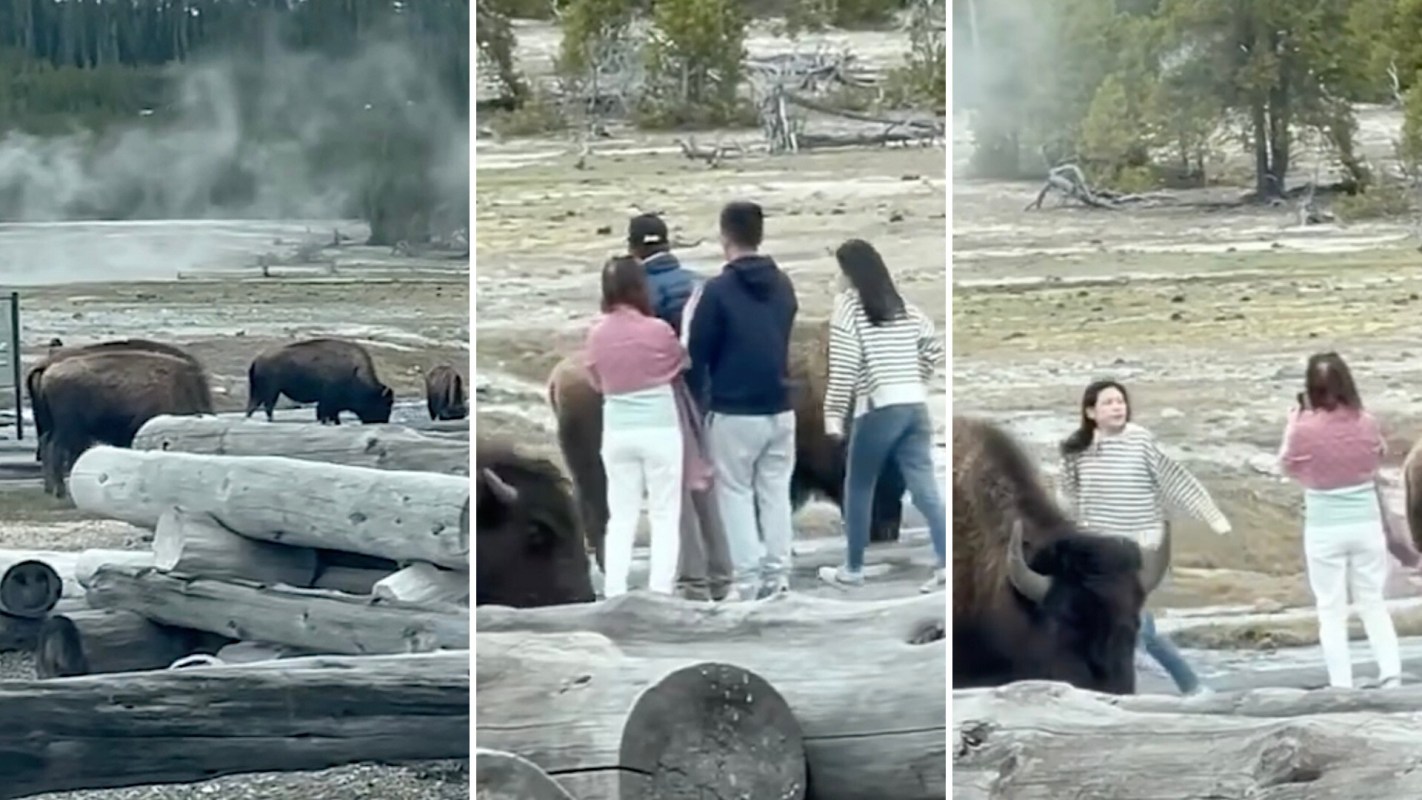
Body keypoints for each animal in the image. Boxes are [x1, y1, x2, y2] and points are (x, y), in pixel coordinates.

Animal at [37, 350, 214, 498]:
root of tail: (49, 373)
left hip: (55, 427)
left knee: (48, 447)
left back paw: (51, 488)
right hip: (67, 428)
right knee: (57, 450)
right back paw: (61, 492)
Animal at [246, 338, 394, 425]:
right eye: (385, 403)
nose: (383, 421)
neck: (355, 373)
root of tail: (257, 360)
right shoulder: (328, 401)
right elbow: (325, 412)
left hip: (260, 391)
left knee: (254, 405)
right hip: (272, 391)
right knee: (268, 406)